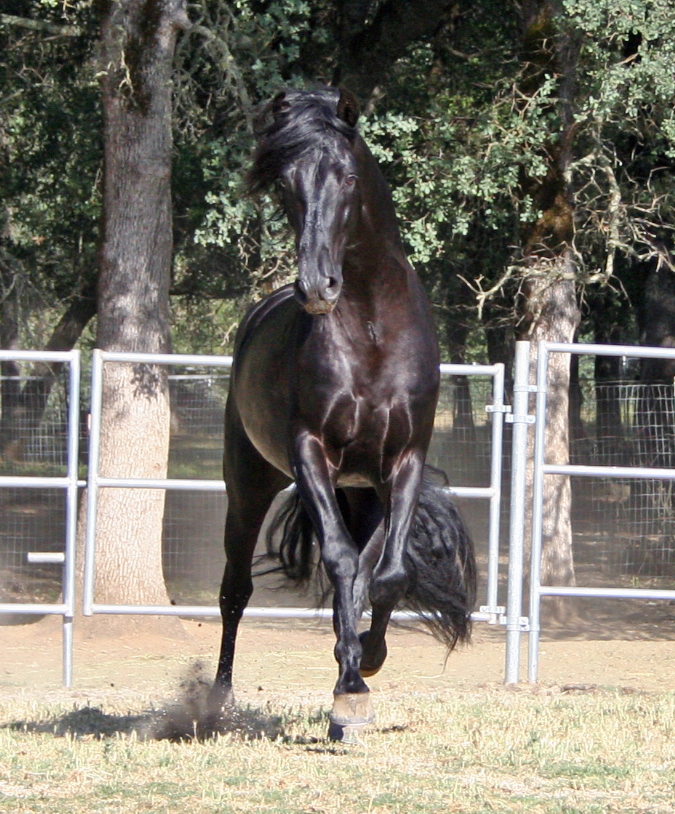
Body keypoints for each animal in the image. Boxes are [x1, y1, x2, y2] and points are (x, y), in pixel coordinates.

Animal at [209, 86, 478, 744]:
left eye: (348, 177)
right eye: (285, 184)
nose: (318, 287)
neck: (373, 331)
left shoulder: (403, 461)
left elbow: (386, 574)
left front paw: (362, 669)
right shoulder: (310, 452)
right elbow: (338, 561)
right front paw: (351, 687)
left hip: (360, 491)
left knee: (360, 572)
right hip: (251, 484)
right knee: (236, 590)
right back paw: (217, 702)